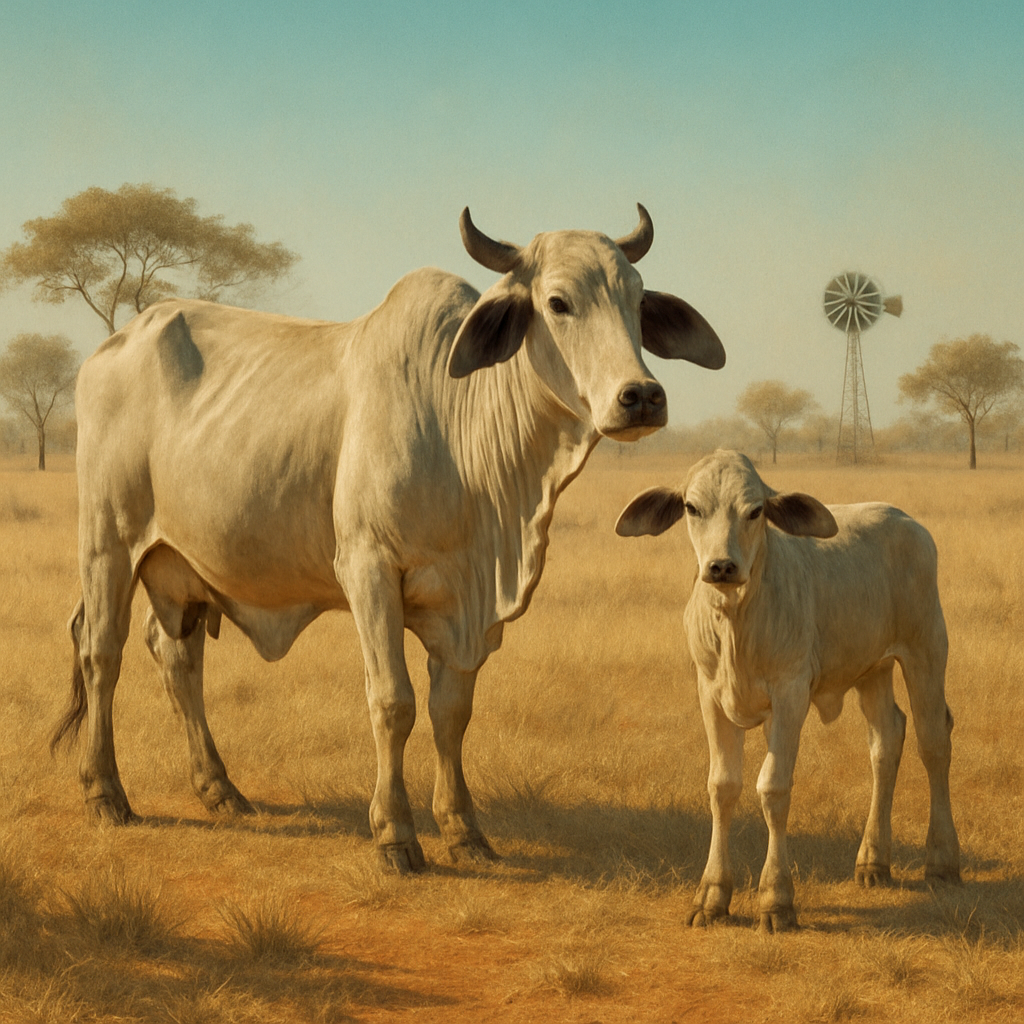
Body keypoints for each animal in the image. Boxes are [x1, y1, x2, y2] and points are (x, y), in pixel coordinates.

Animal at [51, 206, 726, 872]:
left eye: (636, 298)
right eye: (558, 302)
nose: (641, 397)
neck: (461, 428)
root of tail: (114, 344)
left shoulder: (466, 606)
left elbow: (452, 712)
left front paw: (463, 829)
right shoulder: (368, 570)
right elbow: (394, 702)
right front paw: (395, 833)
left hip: (181, 571)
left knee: (176, 657)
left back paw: (220, 789)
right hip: (108, 543)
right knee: (100, 651)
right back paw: (105, 793)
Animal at [615, 449, 960, 930]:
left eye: (755, 510)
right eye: (692, 508)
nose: (721, 566)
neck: (737, 620)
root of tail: (906, 521)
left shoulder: (791, 693)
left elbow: (773, 788)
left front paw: (776, 899)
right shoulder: (710, 694)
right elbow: (722, 786)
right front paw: (712, 896)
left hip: (925, 648)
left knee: (934, 741)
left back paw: (942, 861)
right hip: (872, 670)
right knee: (886, 740)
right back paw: (873, 861)